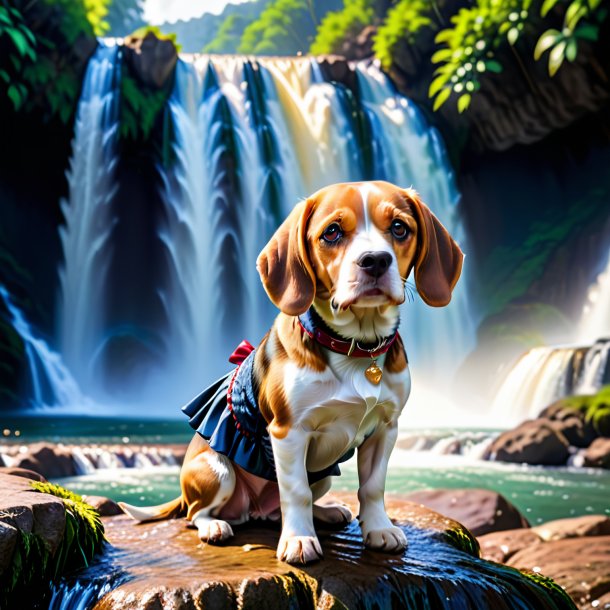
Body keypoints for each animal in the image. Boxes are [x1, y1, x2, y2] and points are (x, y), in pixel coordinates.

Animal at [120, 178, 460, 564]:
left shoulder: (385, 428)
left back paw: (325, 511)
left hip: (323, 474)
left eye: (400, 228)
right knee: (196, 513)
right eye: (331, 232)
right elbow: (295, 491)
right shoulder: (289, 432)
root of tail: (252, 509)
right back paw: (214, 526)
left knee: (288, 506)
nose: (375, 260)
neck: (355, 345)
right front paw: (299, 540)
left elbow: (372, 487)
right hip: (216, 470)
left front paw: (379, 529)